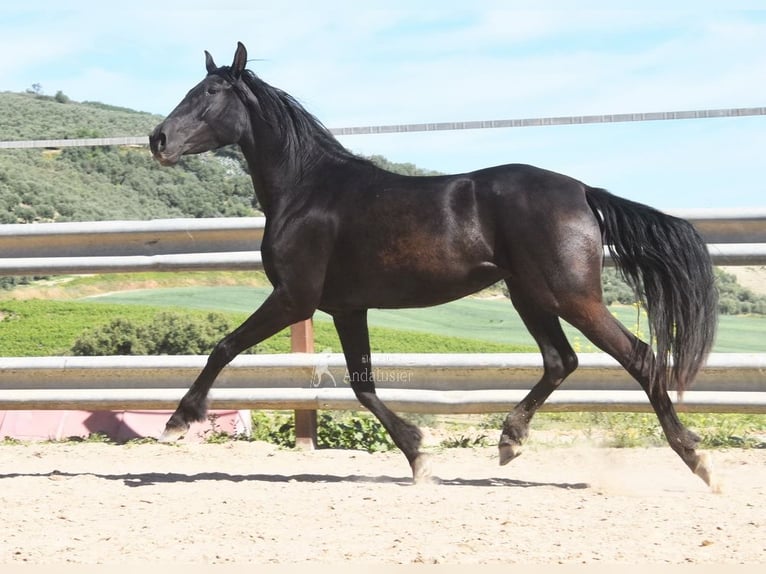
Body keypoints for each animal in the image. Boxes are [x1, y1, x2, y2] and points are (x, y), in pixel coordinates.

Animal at [149, 42, 719, 489]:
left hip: (572, 296)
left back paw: (697, 459)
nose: (158, 140)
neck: (307, 189)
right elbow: (363, 385)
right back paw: (509, 441)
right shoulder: (346, 308)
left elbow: (224, 347)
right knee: (561, 360)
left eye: (210, 93)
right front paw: (419, 455)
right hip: (530, 295)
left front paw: (178, 420)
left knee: (640, 356)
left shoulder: (295, 298)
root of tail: (580, 190)